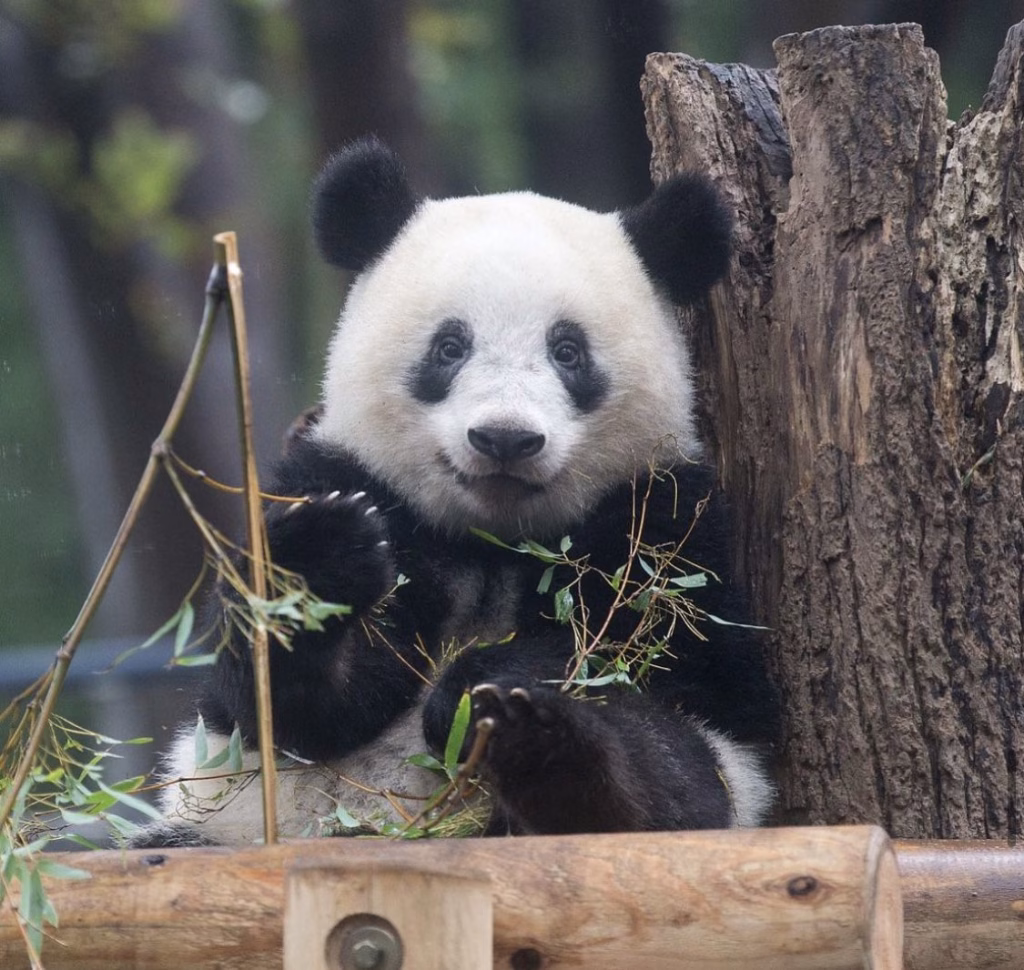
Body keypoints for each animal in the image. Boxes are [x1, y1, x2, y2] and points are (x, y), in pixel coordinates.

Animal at [134, 137, 776, 847]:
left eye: (568, 352)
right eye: (449, 346)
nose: (504, 439)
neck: (491, 540)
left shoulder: (664, 526)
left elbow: (690, 678)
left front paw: (480, 691)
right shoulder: (350, 480)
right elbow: (288, 706)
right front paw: (319, 564)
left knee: (670, 771)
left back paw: (548, 749)